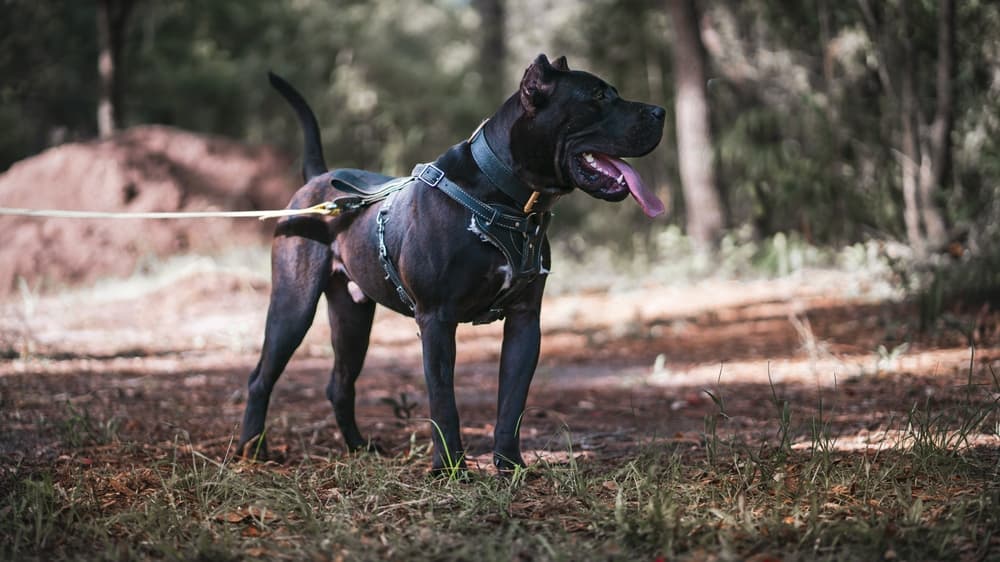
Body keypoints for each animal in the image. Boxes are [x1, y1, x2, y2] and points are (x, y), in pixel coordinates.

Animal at [238, 54, 668, 470]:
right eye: (598, 96)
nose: (660, 111)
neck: (508, 198)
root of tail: (318, 179)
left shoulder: (525, 321)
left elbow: (512, 400)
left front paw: (510, 465)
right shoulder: (437, 319)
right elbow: (444, 400)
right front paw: (449, 468)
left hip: (352, 317)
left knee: (339, 384)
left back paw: (360, 448)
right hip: (293, 306)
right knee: (260, 378)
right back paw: (251, 450)